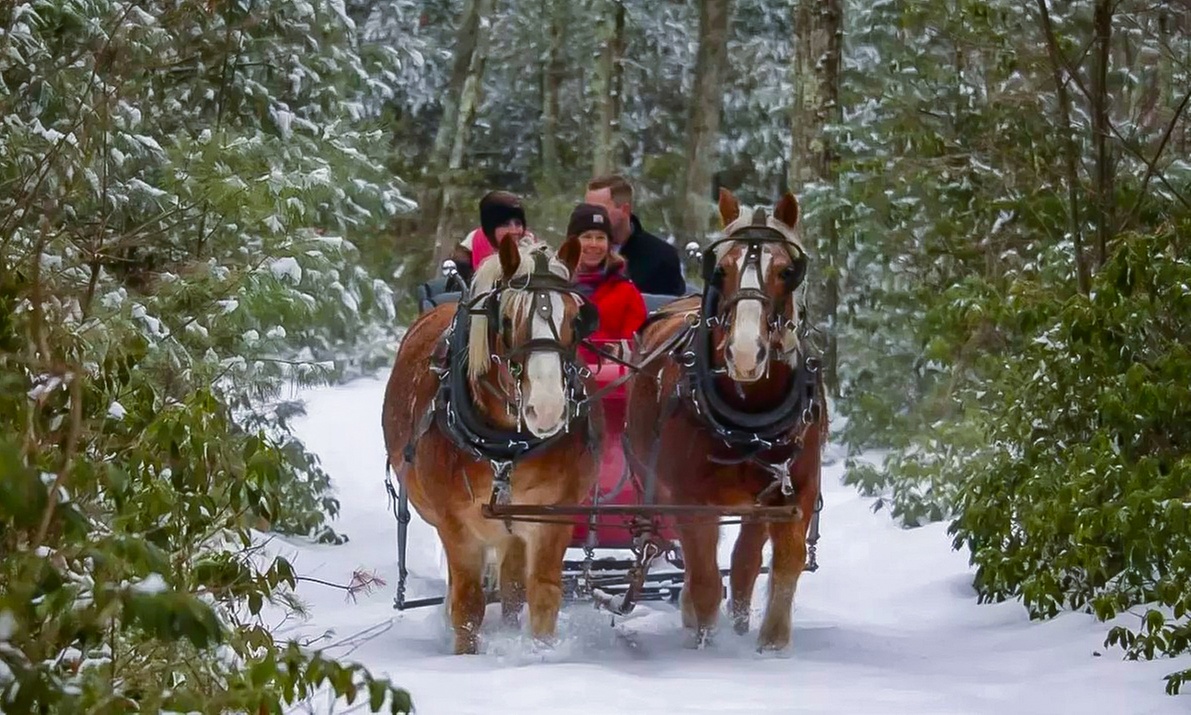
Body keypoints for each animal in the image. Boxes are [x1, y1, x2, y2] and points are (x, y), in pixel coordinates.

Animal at [381, 236, 602, 654]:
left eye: (575, 319)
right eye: (509, 319)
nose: (547, 408)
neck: (506, 446)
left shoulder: (552, 516)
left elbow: (542, 595)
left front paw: (543, 654)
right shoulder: (457, 524)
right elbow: (468, 604)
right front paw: (466, 657)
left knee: (513, 588)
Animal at [623, 188, 827, 651]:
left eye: (786, 271)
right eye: (720, 269)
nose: (745, 353)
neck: (749, 419)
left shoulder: (796, 491)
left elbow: (783, 567)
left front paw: (771, 645)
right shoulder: (689, 499)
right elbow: (703, 580)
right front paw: (705, 644)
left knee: (745, 561)